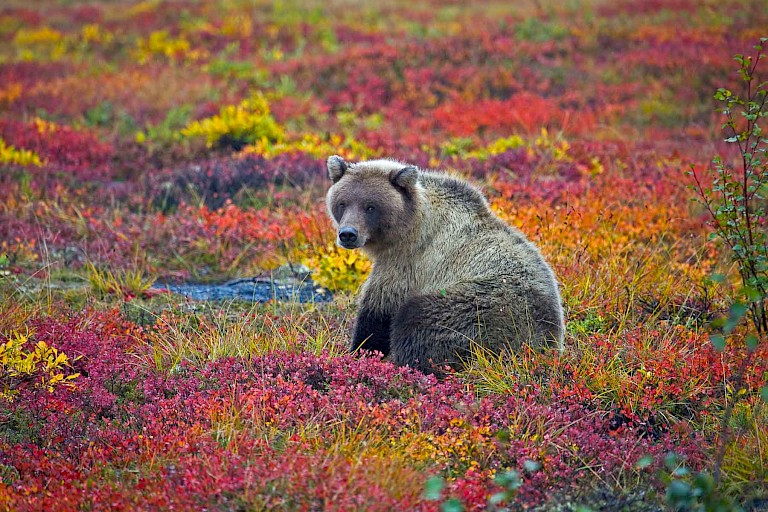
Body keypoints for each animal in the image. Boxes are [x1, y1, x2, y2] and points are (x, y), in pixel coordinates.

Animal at [325, 155, 565, 375]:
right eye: (342, 203)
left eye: (370, 206)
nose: (348, 234)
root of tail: (544, 344)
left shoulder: (408, 260)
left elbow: (379, 308)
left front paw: (360, 351)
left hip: (483, 308)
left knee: (418, 321)